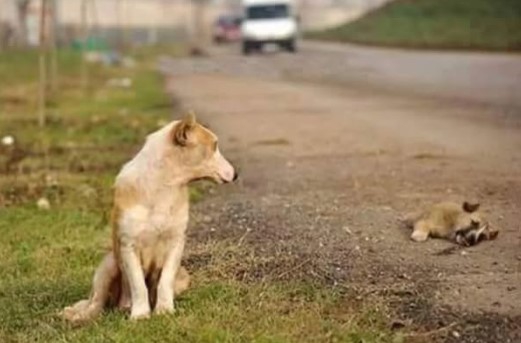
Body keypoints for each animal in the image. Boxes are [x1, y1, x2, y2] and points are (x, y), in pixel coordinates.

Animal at [61, 112, 238, 322]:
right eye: (215, 145)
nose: (236, 174)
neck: (164, 186)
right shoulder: (129, 246)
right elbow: (138, 285)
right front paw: (140, 314)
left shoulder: (176, 244)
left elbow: (164, 281)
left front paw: (164, 310)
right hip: (108, 265)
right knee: (96, 302)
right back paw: (81, 315)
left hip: (182, 276)